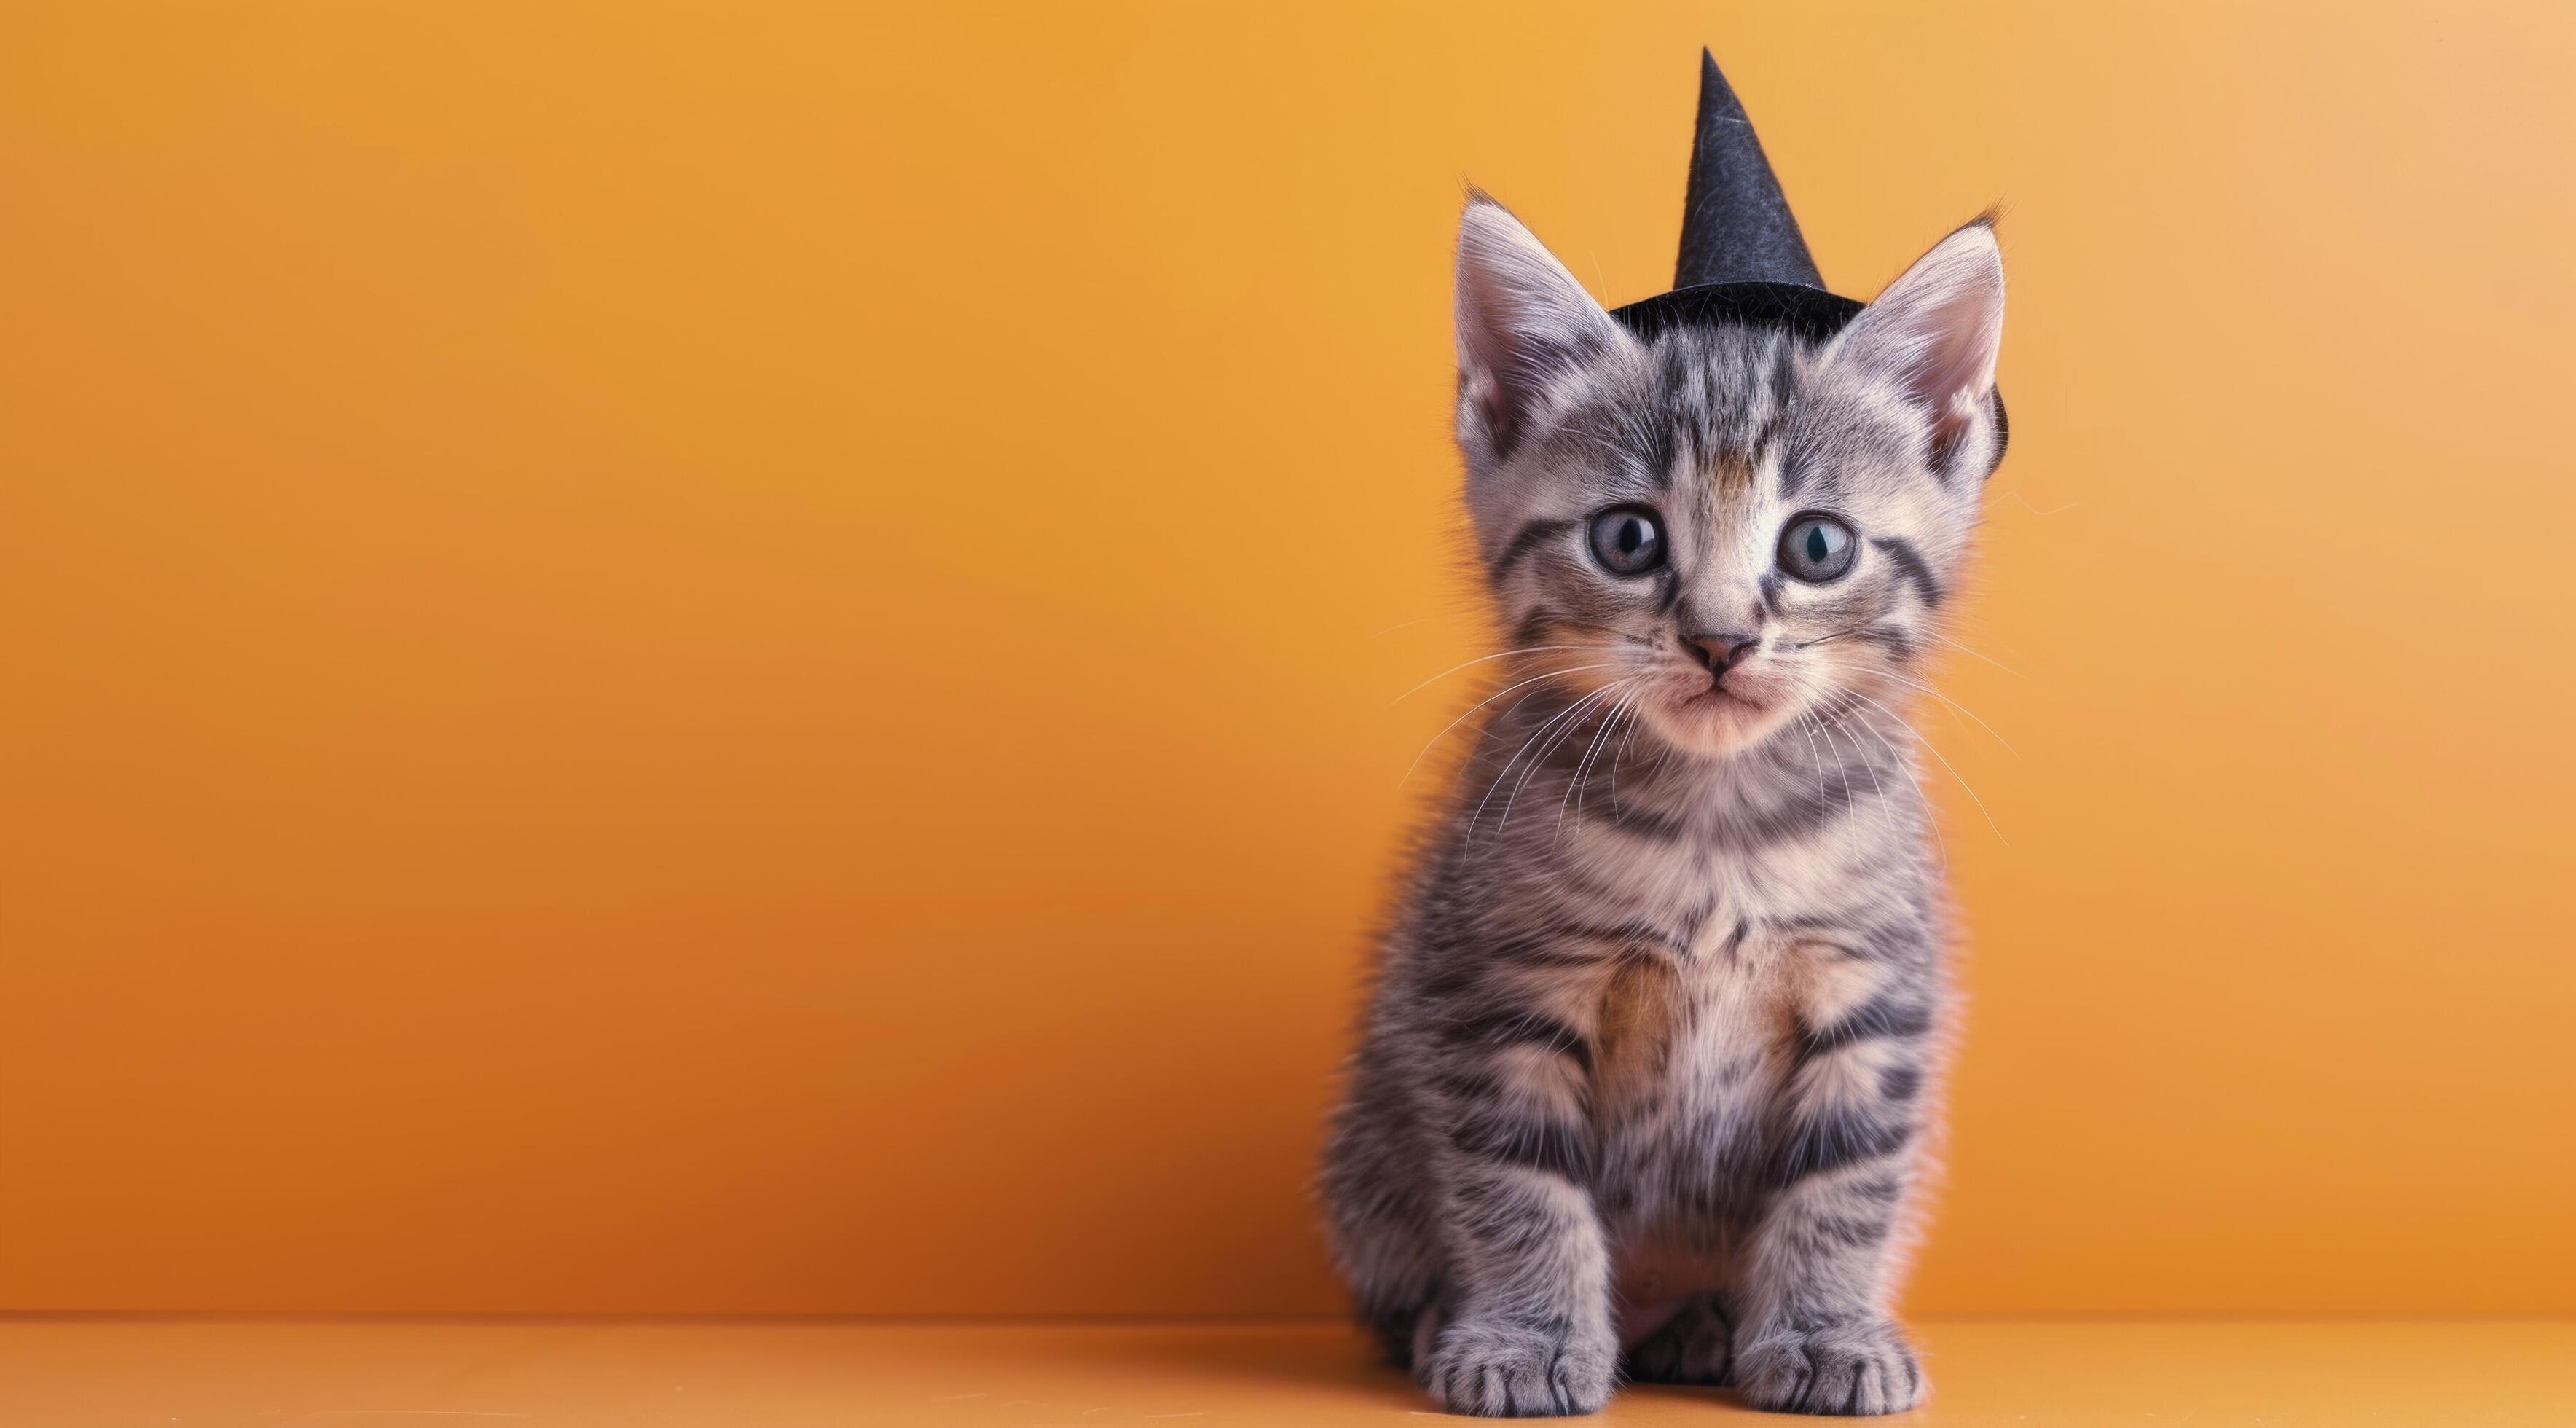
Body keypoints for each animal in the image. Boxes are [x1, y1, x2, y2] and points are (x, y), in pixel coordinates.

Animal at [1319, 192, 1998, 1412]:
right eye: (1628, 537)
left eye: (1816, 544)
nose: (1720, 640)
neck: (1716, 822)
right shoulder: (1496, 995)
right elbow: (1518, 1184)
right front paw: (1529, 1337)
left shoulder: (1874, 997)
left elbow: (1846, 1183)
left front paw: (1825, 1330)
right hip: (1363, 1157)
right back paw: (1453, 1318)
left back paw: (1705, 1323)